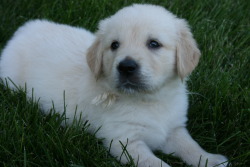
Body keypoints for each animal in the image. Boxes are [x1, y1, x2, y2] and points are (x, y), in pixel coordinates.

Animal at [0, 3, 229, 167]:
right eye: (114, 45)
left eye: (154, 44)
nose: (126, 66)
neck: (149, 99)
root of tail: (24, 29)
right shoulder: (125, 141)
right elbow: (156, 163)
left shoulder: (173, 128)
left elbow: (190, 146)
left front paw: (211, 159)